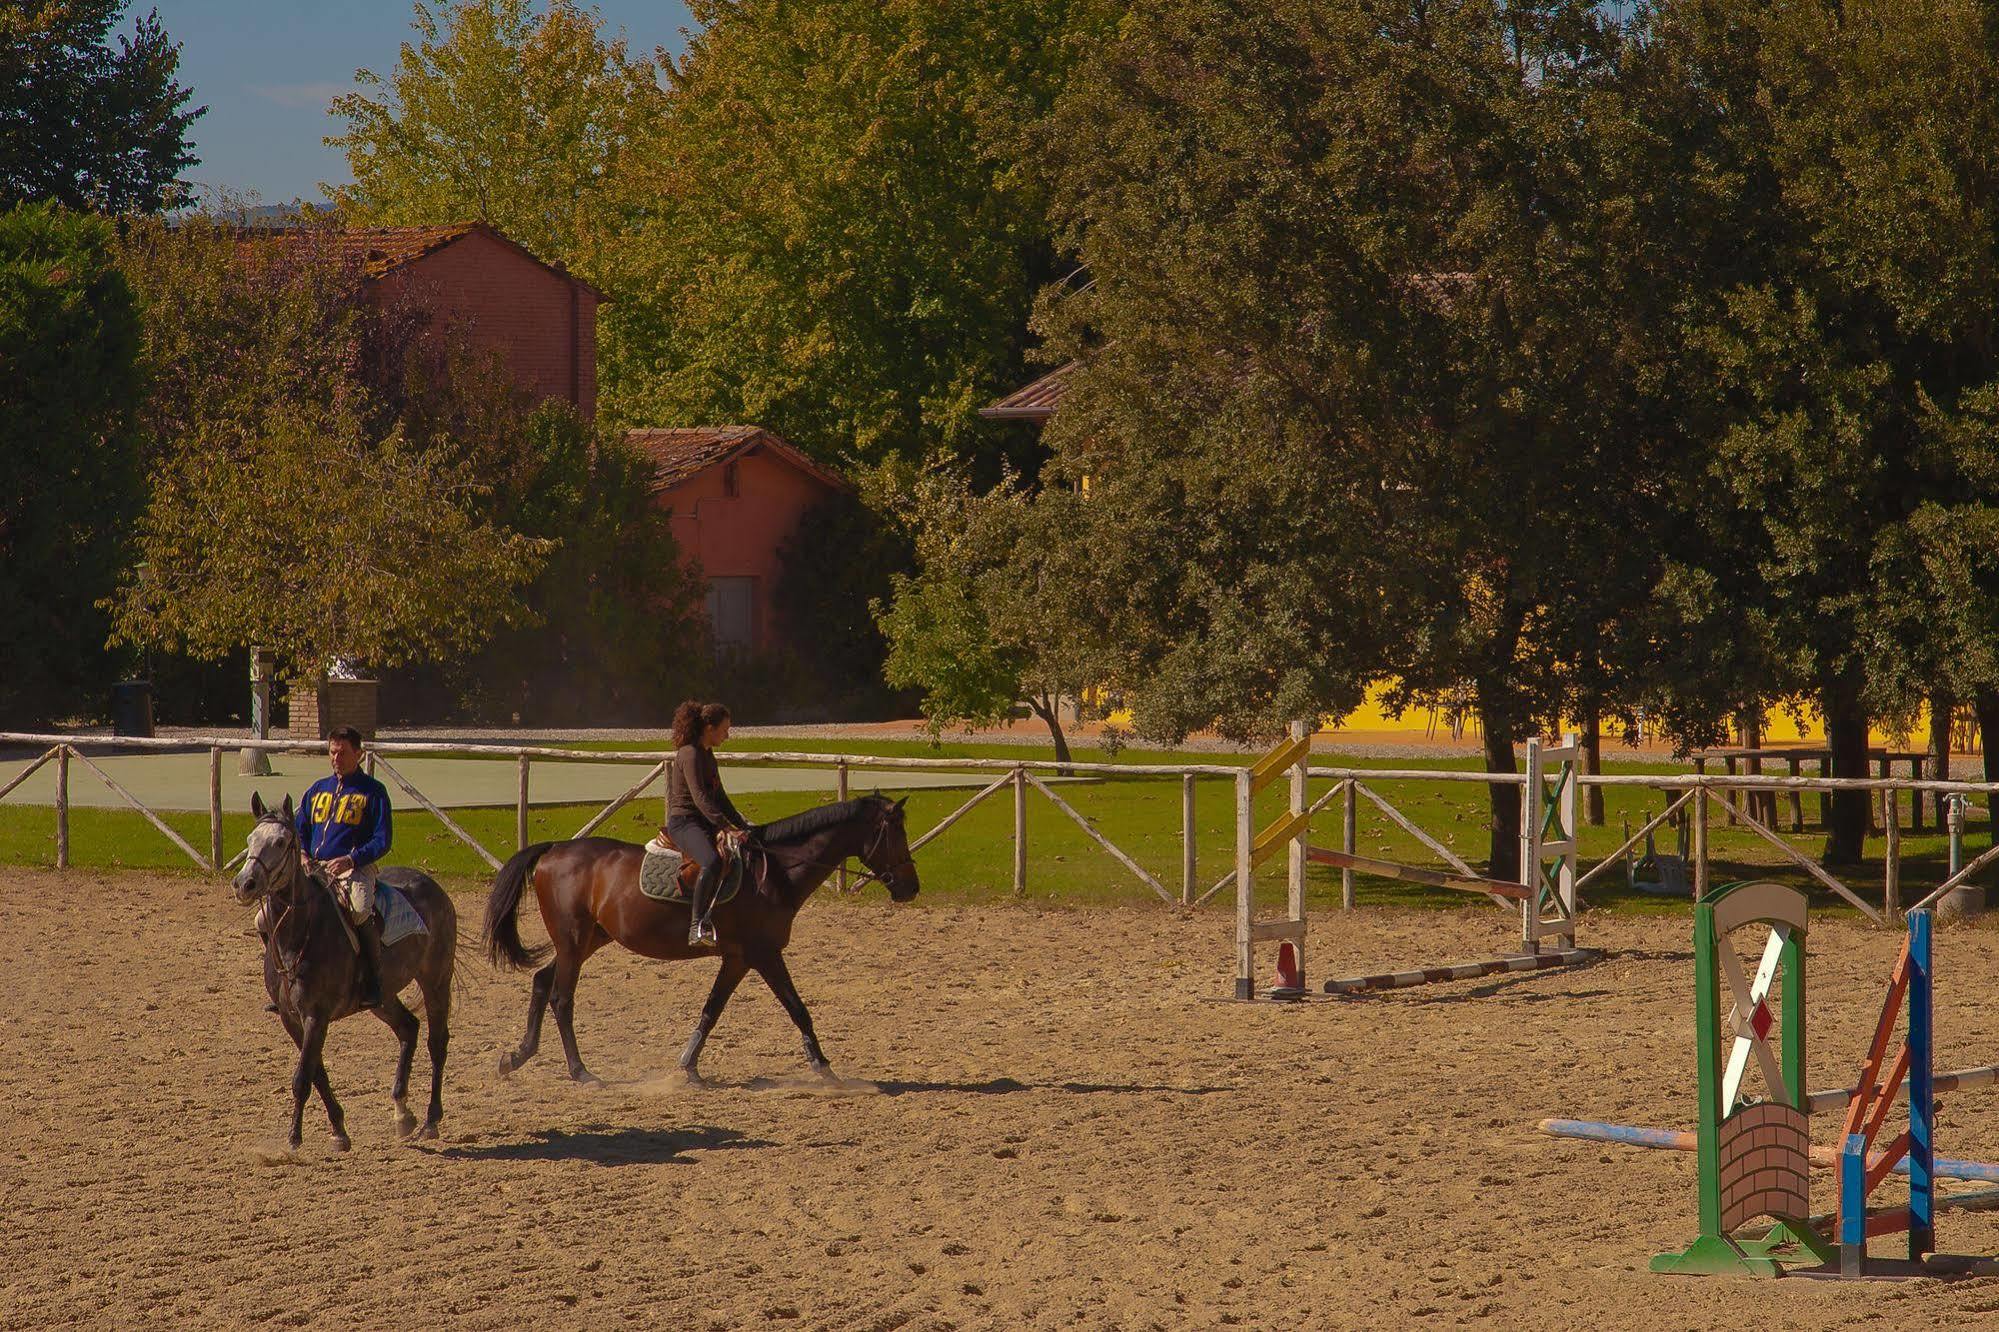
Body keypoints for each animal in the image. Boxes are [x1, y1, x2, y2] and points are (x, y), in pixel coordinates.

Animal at [233, 792, 457, 1144]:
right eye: (250, 840)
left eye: (281, 842)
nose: (245, 884)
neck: (301, 934)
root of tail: (431, 884)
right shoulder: (291, 1019)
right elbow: (317, 1073)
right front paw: (338, 1128)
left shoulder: (316, 1016)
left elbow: (303, 1077)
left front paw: (294, 1139)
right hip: (384, 997)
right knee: (408, 1028)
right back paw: (402, 1113)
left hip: (436, 980)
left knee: (437, 1043)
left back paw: (431, 1119)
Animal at [483, 788, 919, 1080]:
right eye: (895, 833)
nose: (911, 887)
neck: (774, 872)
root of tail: (555, 848)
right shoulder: (764, 954)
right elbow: (797, 1008)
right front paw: (823, 1067)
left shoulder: (738, 958)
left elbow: (712, 1010)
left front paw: (688, 1066)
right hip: (574, 941)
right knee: (561, 997)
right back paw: (580, 1071)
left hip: (587, 940)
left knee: (542, 982)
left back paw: (517, 1056)